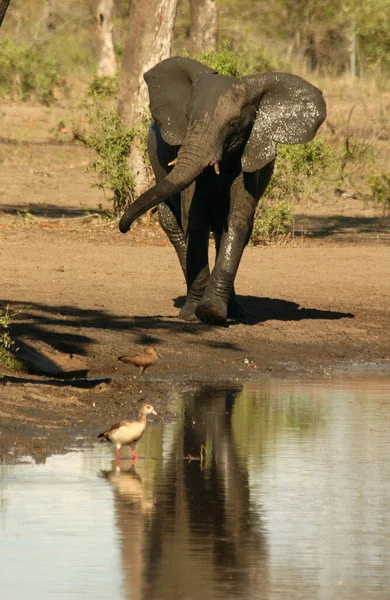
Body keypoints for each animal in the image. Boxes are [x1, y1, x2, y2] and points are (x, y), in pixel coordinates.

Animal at [119, 55, 326, 326]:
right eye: (187, 116)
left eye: (235, 124)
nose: (124, 227)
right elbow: (195, 220)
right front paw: (193, 315)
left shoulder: (251, 155)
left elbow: (237, 222)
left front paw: (213, 312)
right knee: (174, 225)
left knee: (222, 229)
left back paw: (234, 310)